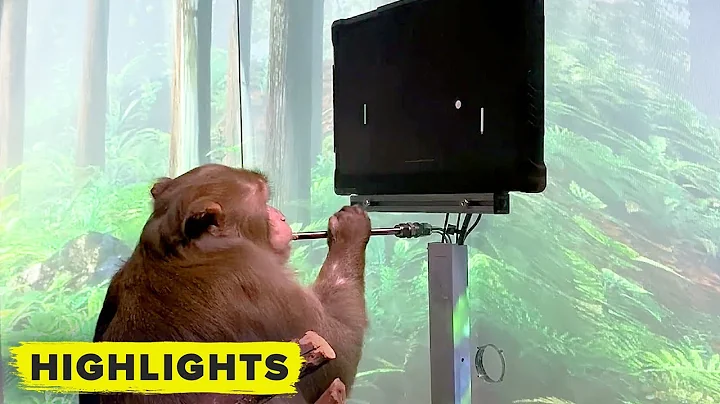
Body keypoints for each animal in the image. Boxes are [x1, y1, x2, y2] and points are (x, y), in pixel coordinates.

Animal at [79, 163, 371, 404]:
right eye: (264, 202)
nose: (281, 217)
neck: (185, 249)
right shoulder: (257, 278)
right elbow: (339, 352)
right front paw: (349, 230)